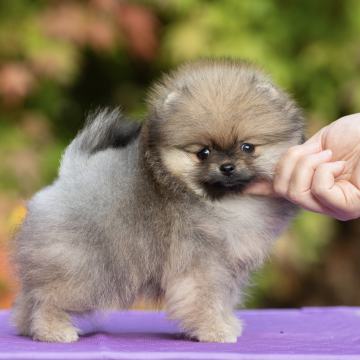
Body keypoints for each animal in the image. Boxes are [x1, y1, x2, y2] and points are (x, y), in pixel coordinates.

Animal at [11, 59, 304, 344]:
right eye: (203, 153)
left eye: (247, 147)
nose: (227, 167)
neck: (221, 202)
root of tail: (68, 176)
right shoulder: (201, 264)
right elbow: (205, 299)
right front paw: (214, 331)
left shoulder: (228, 266)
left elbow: (223, 298)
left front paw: (226, 323)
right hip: (84, 270)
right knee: (48, 299)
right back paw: (53, 331)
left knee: (30, 297)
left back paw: (27, 328)